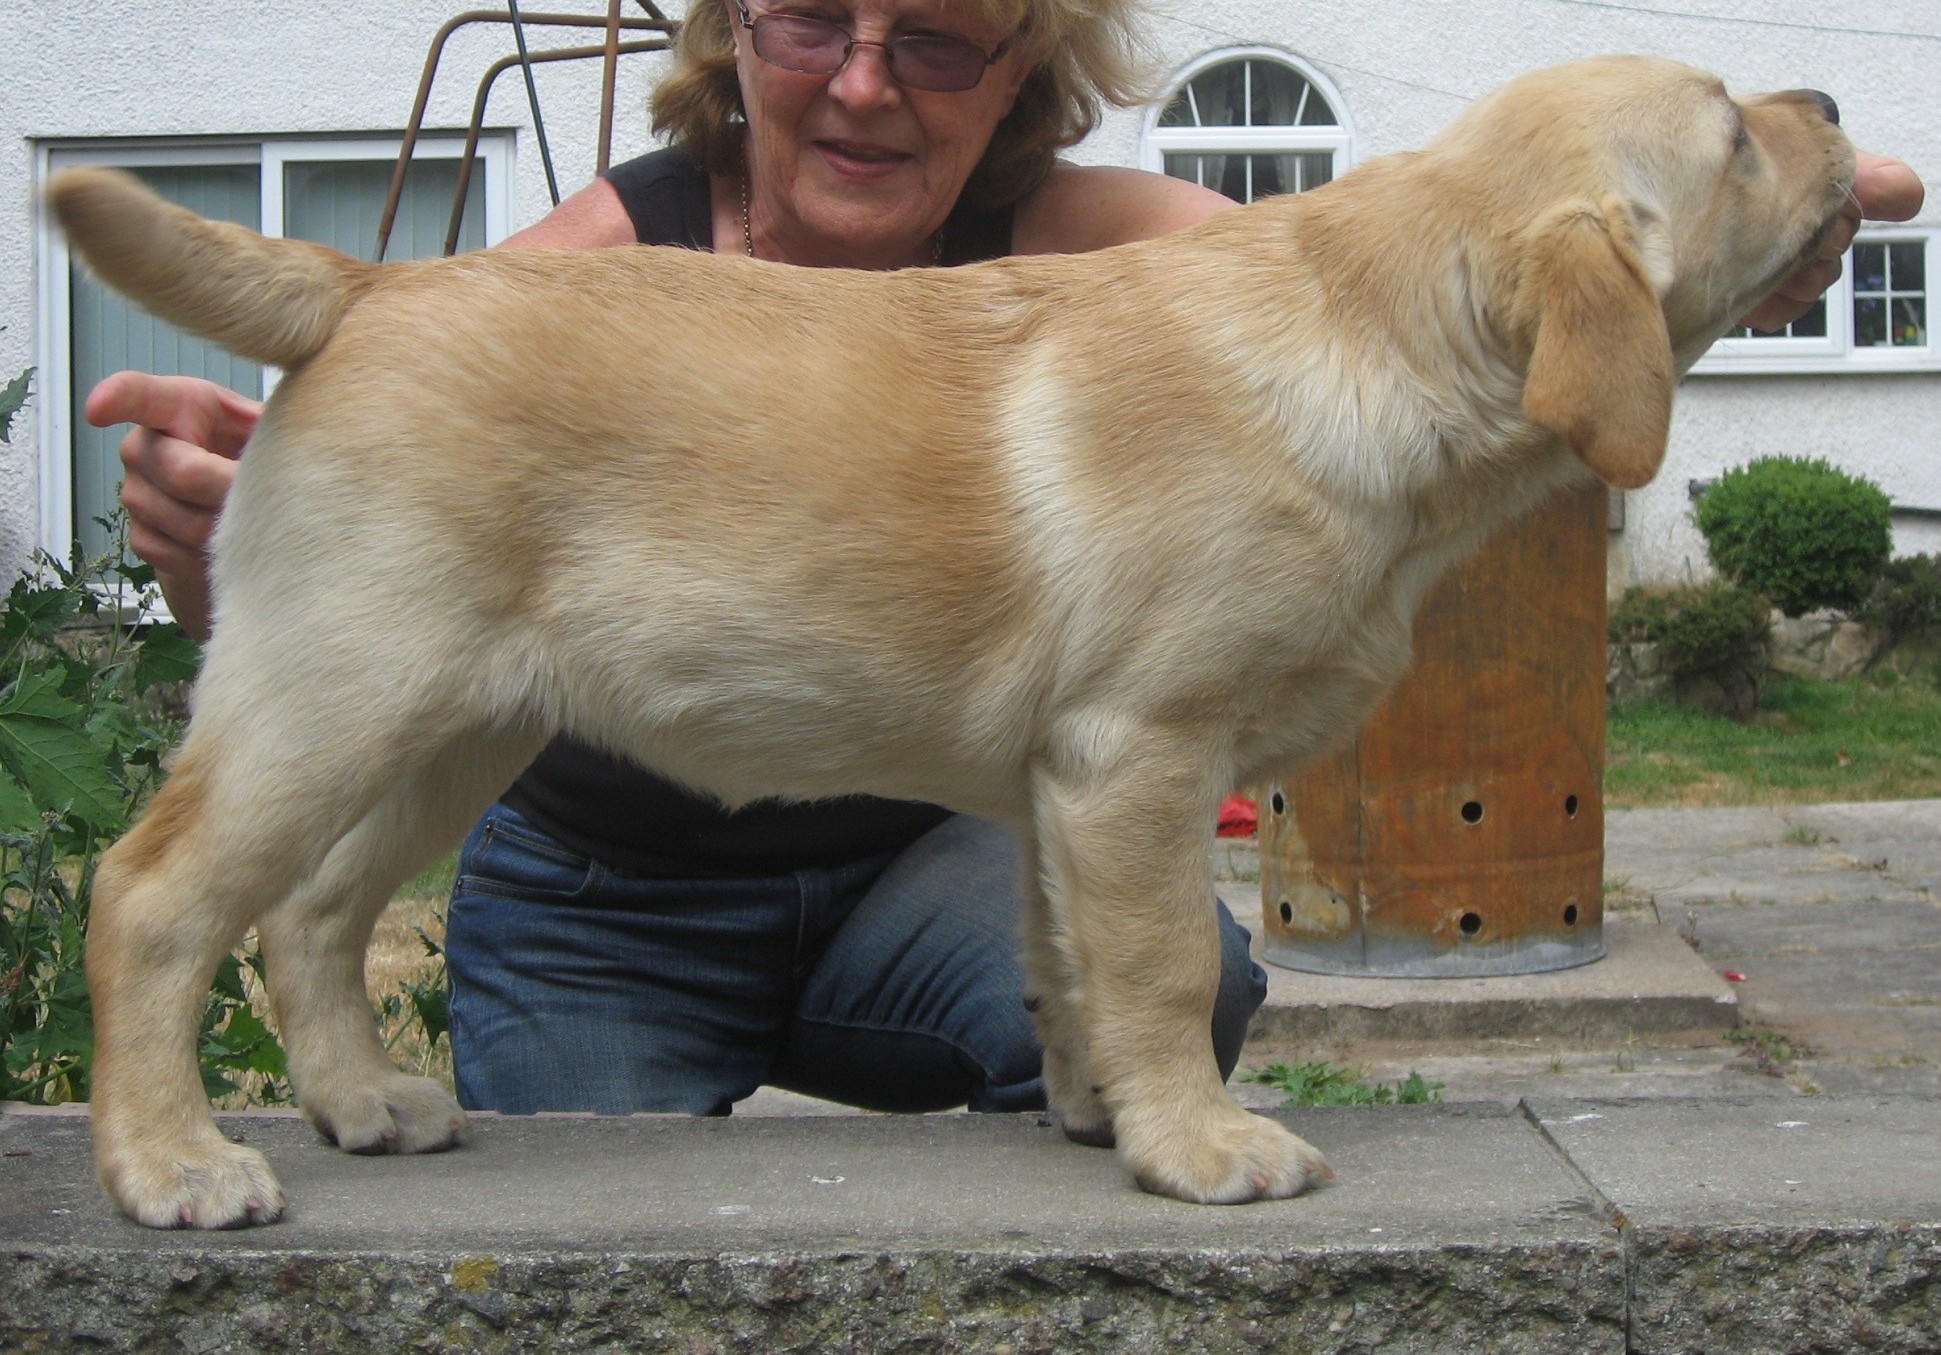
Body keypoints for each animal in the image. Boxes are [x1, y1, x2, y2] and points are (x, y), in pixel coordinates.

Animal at [49, 55, 1847, 1226]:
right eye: (1731, 137)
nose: (1830, 113)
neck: (1376, 329)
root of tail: (365, 286)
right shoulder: (1141, 751)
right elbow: (1161, 960)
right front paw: (1204, 1148)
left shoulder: (1066, 777)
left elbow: (1069, 964)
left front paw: (1100, 1114)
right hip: (335, 696)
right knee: (151, 896)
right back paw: (172, 1166)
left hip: (449, 731)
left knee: (313, 915)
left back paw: (361, 1105)